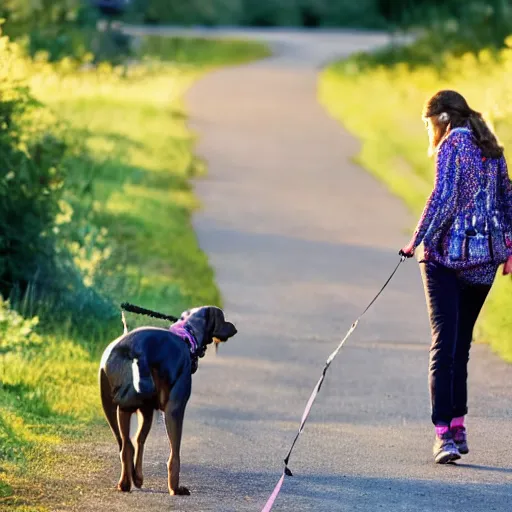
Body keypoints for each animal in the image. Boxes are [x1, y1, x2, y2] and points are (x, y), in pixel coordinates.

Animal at [98, 306, 238, 494]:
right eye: (223, 319)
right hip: (153, 410)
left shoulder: (148, 410)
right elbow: (175, 454)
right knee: (140, 445)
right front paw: (175, 488)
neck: (188, 333)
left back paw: (128, 481)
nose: (234, 328)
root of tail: (135, 349)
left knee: (127, 445)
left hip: (116, 409)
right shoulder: (175, 409)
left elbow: (138, 441)